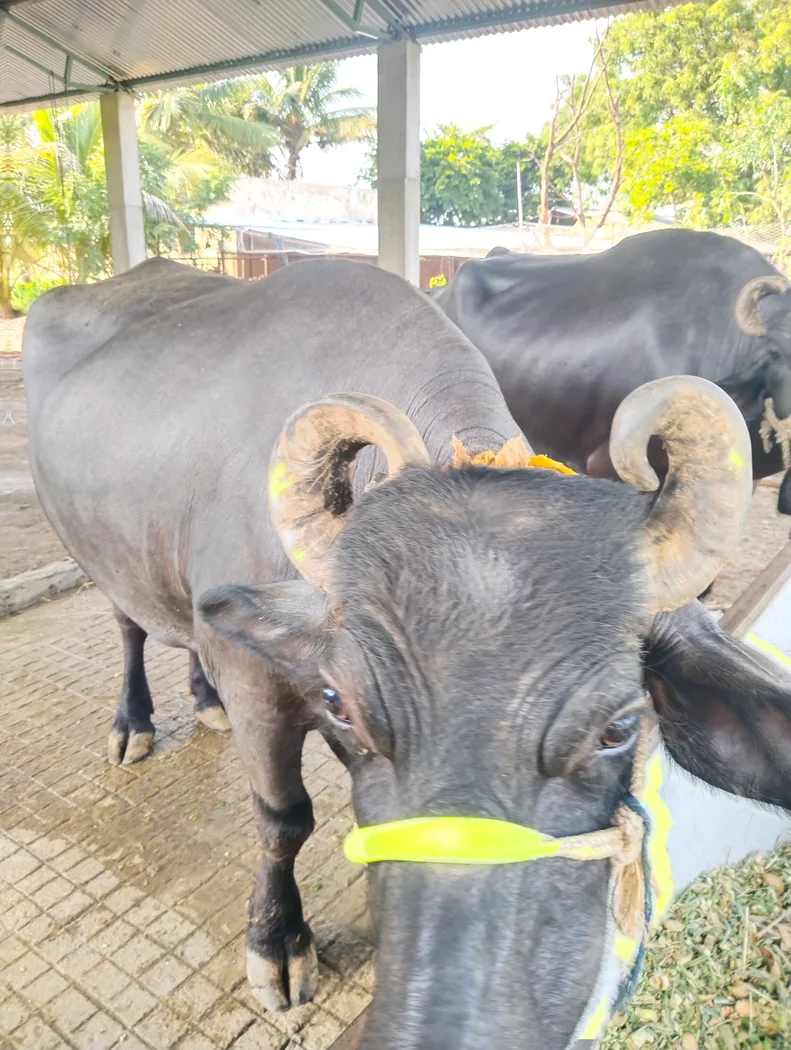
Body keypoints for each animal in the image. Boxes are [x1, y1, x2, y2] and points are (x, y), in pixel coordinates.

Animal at [23, 258, 791, 1050]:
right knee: (128, 624)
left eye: (620, 726)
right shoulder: (260, 690)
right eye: (340, 701)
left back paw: (202, 699)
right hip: (99, 553)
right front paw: (277, 943)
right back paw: (132, 723)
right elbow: (283, 818)